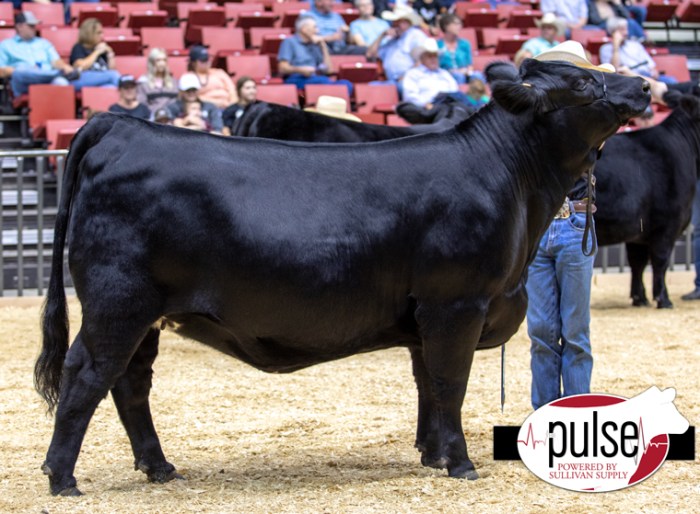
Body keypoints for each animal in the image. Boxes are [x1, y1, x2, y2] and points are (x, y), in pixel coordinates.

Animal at [34, 58, 652, 494]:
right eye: (582, 83)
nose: (645, 87)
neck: (513, 181)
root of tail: (120, 126)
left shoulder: (426, 315)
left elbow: (427, 383)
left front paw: (432, 455)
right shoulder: (457, 303)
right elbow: (450, 381)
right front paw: (461, 463)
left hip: (146, 314)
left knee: (130, 383)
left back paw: (159, 466)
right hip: (118, 301)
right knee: (87, 375)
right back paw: (62, 478)